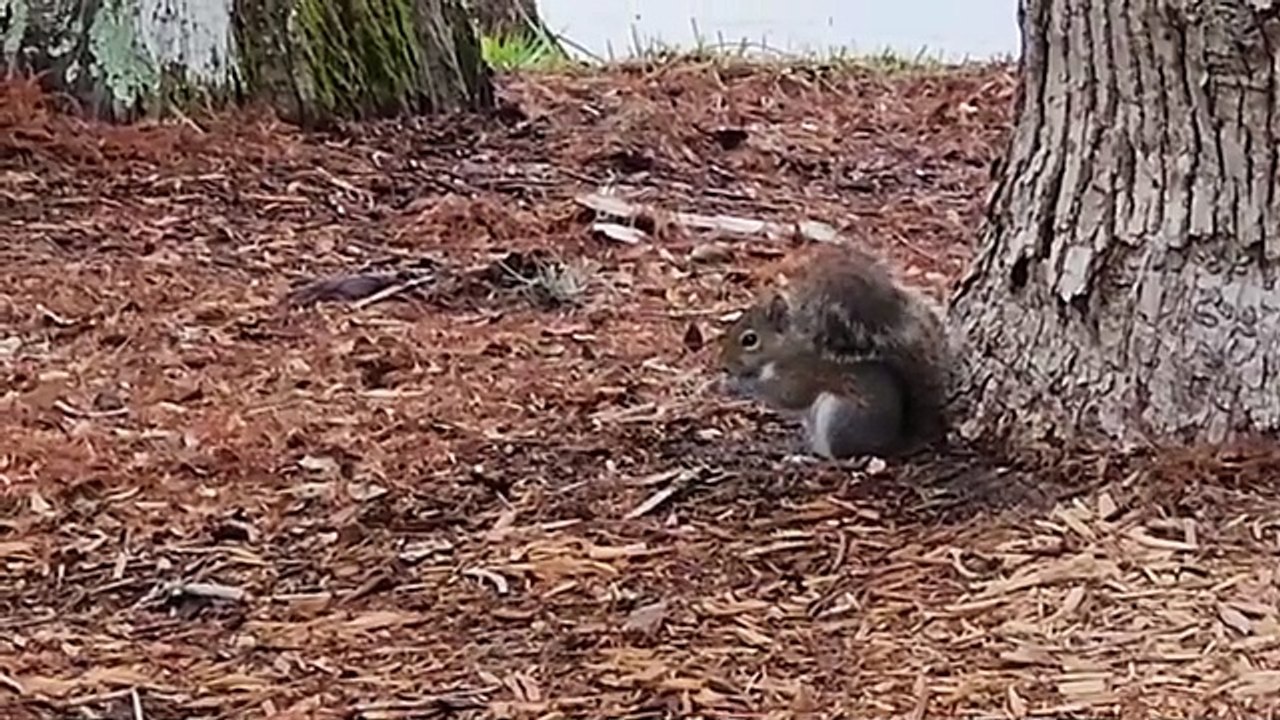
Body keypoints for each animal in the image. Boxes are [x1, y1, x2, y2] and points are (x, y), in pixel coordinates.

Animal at [716, 244, 951, 459]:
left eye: (750, 339)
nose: (723, 364)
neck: (781, 353)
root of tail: (894, 443)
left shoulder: (799, 375)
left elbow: (785, 396)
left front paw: (737, 384)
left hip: (839, 417)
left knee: (838, 456)